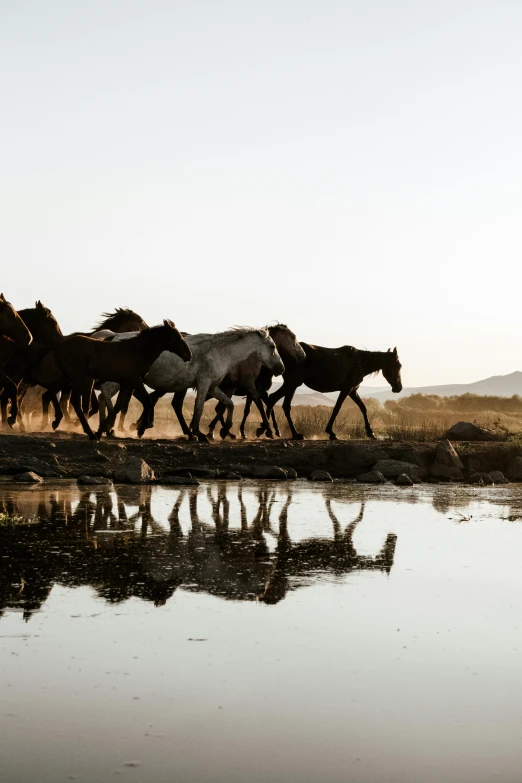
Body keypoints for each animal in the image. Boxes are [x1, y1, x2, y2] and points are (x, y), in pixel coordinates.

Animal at [51, 320, 191, 440]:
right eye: (176, 337)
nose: (189, 355)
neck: (138, 351)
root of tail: (61, 347)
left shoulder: (126, 384)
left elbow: (118, 406)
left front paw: (103, 430)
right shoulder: (135, 380)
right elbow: (147, 400)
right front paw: (140, 429)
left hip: (69, 379)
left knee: (57, 394)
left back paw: (60, 423)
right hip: (77, 378)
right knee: (73, 401)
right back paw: (87, 432)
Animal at [97, 328, 284, 444]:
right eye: (272, 346)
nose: (281, 368)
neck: (219, 352)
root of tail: (114, 337)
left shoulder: (213, 387)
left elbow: (228, 404)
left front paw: (224, 430)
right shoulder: (204, 384)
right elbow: (199, 408)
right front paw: (199, 433)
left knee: (108, 397)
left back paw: (113, 427)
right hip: (120, 381)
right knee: (106, 393)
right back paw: (111, 427)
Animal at [264, 344, 402, 440]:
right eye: (398, 365)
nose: (398, 388)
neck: (360, 362)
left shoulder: (352, 391)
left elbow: (363, 408)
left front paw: (370, 432)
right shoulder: (346, 389)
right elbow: (337, 409)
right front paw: (331, 432)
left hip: (291, 385)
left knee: (274, 400)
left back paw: (272, 431)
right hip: (292, 384)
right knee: (281, 403)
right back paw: (290, 433)